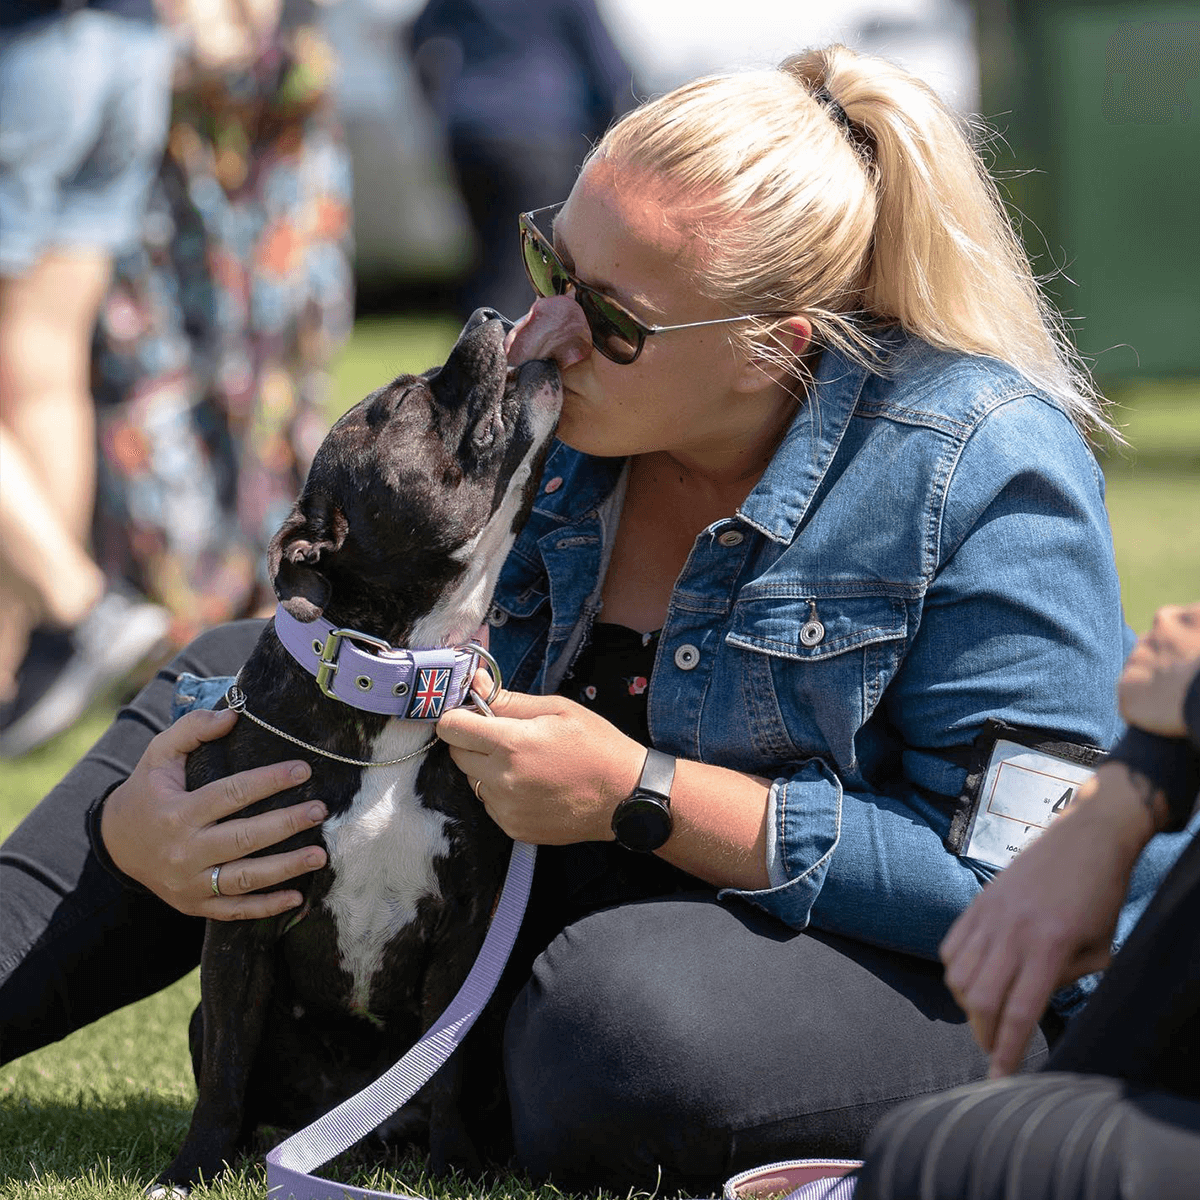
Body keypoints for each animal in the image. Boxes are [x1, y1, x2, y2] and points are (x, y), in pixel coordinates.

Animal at [157, 309, 564, 1190]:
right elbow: (225, 1072)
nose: (487, 315)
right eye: (407, 397)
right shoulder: (240, 926)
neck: (399, 678)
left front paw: (455, 1164)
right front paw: (194, 1166)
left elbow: (446, 1067)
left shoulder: (466, 937)